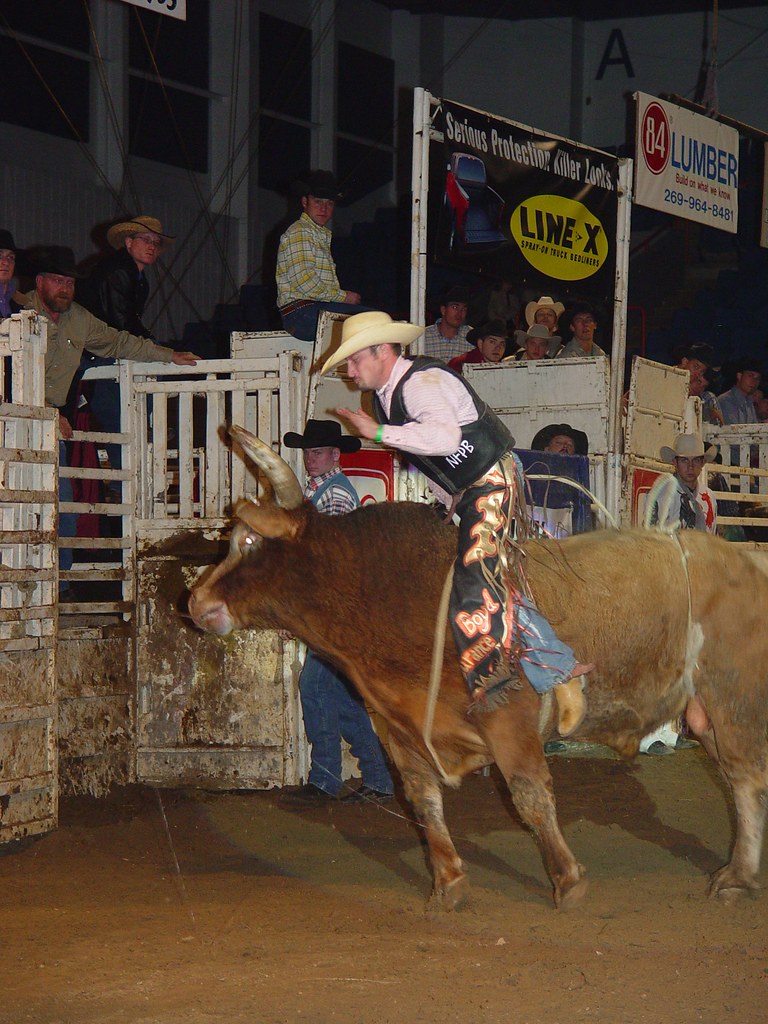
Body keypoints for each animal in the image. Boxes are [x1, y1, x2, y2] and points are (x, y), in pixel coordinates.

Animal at [188, 424, 768, 911]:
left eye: (248, 541)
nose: (195, 602)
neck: (392, 593)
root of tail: (747, 559)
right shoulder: (401, 729)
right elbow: (424, 802)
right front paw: (448, 881)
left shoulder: (508, 716)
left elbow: (530, 795)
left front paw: (567, 880)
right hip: (705, 713)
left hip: (733, 698)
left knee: (743, 779)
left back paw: (738, 877)